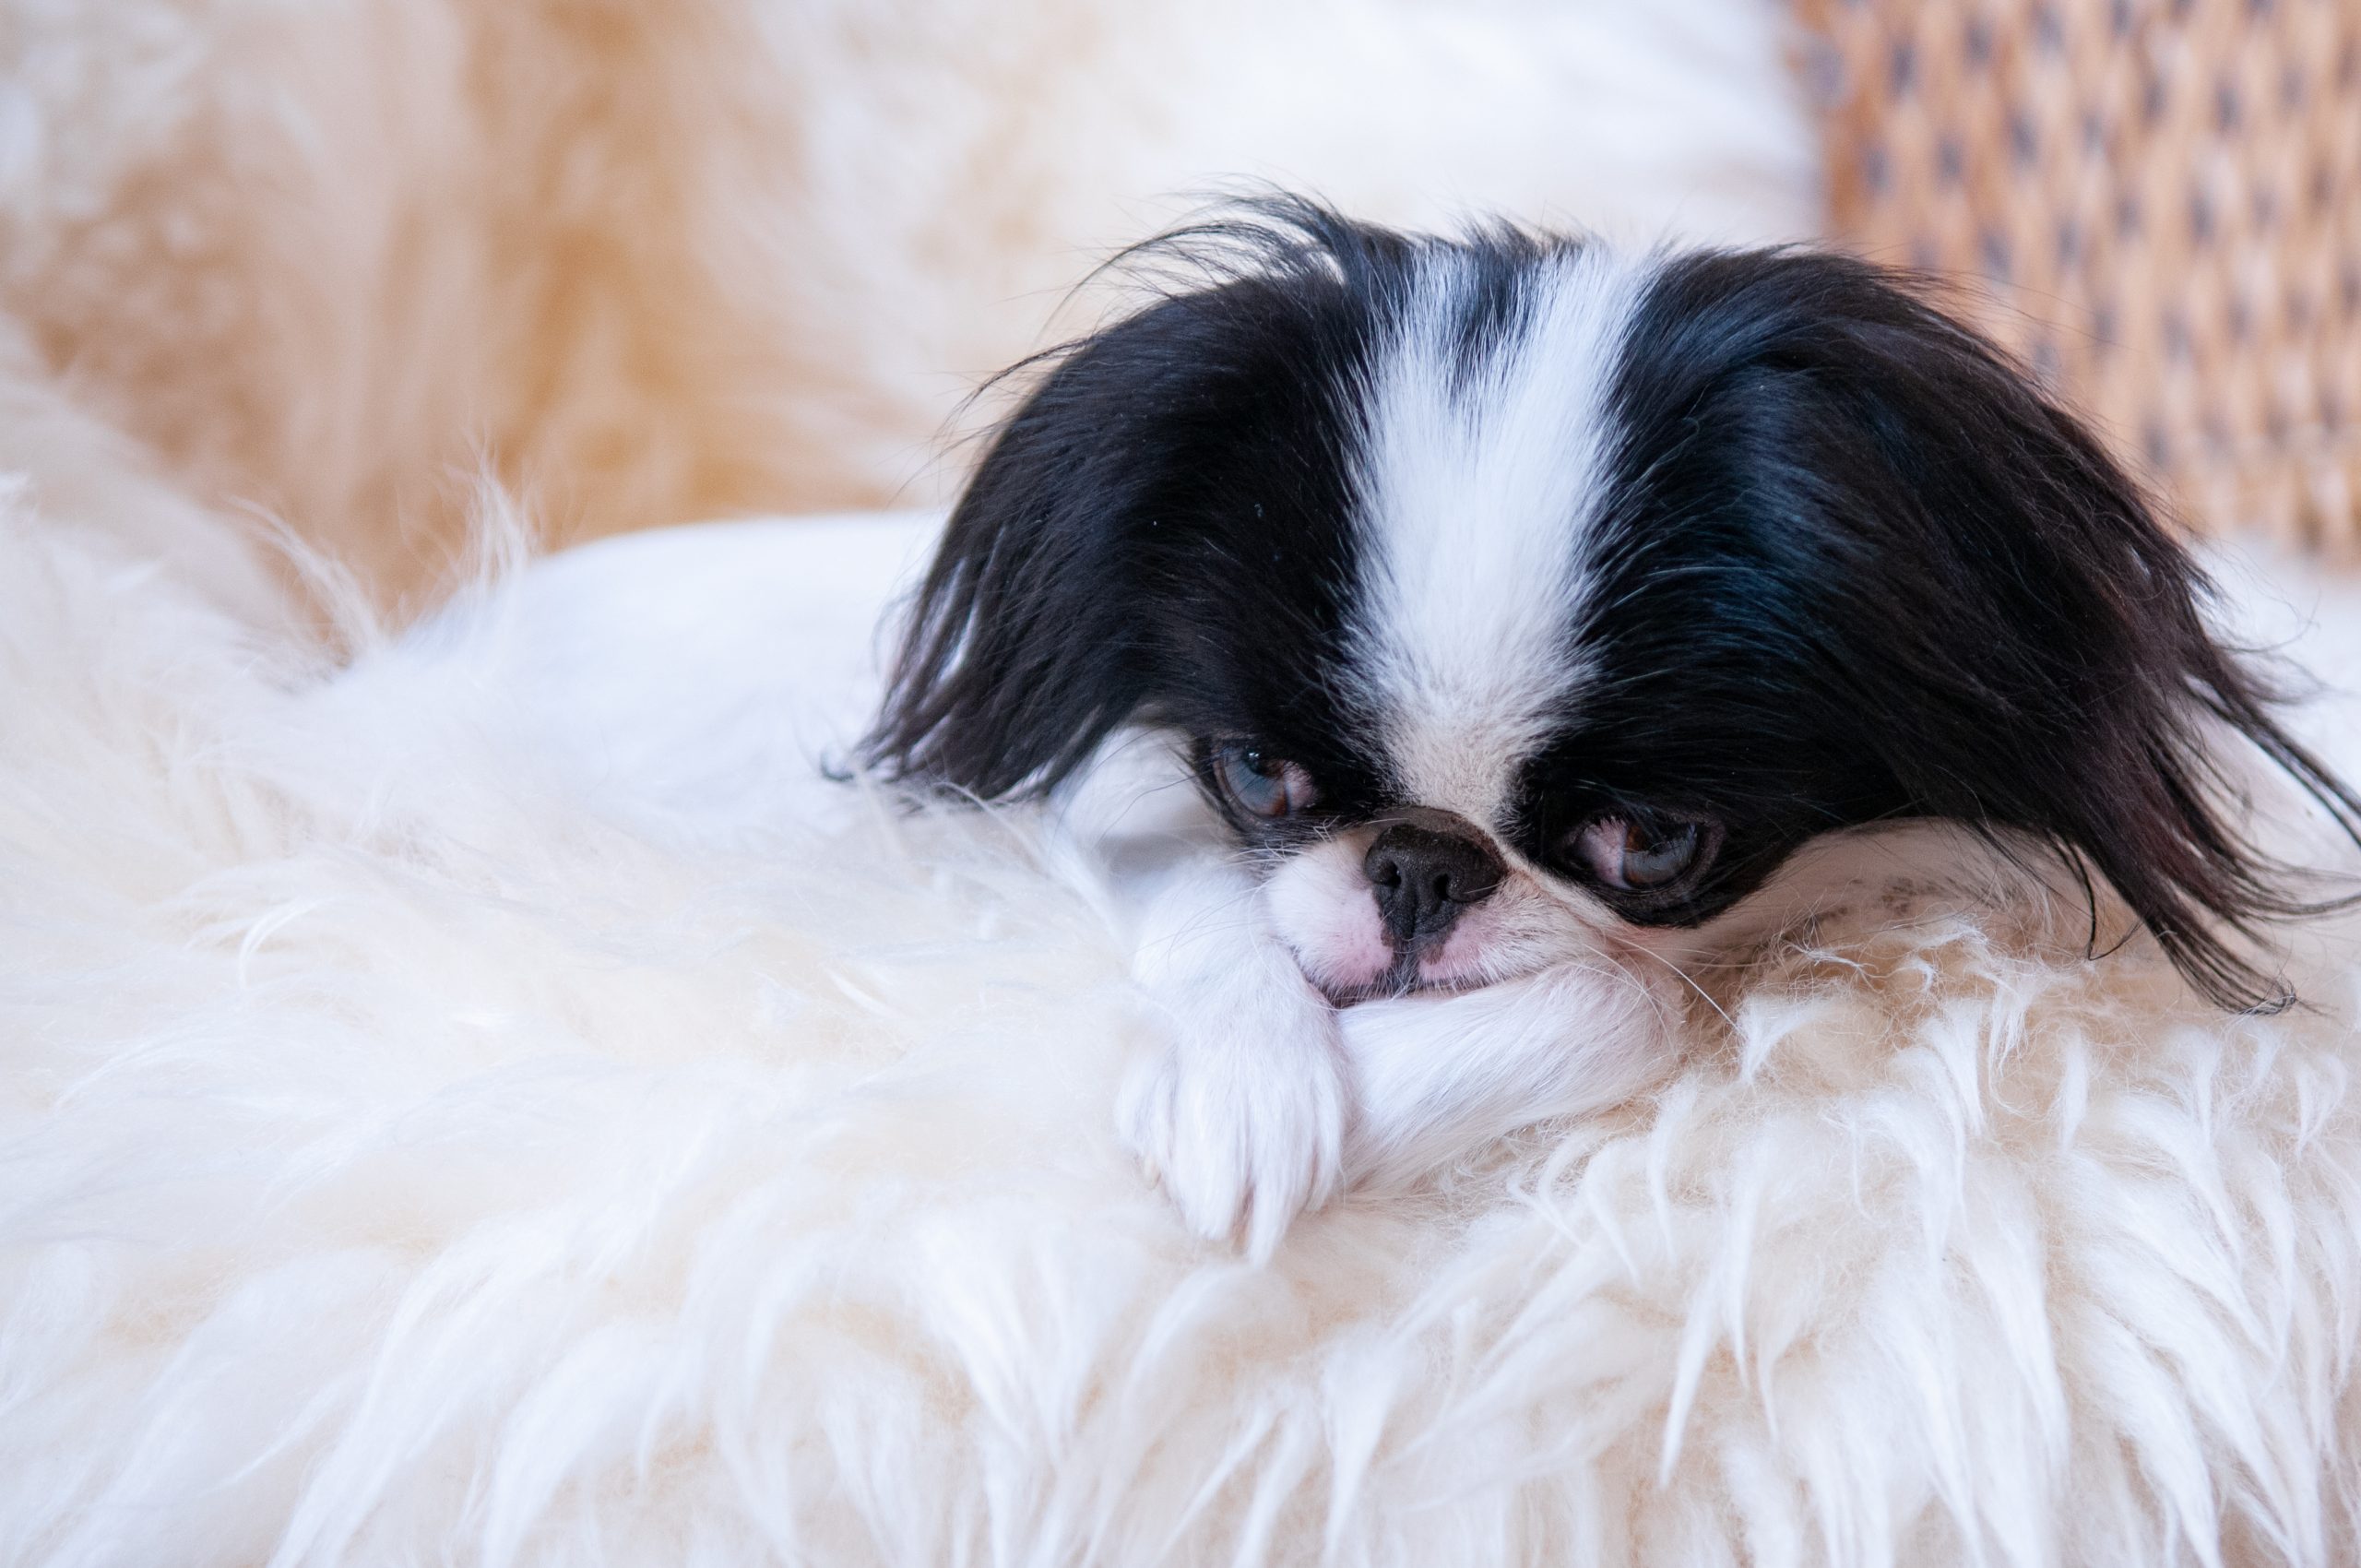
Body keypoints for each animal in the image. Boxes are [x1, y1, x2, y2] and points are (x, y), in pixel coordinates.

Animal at [859, 196, 2351, 1256]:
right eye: (1259, 774)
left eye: (1651, 841)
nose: (1418, 868)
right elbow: (1225, 907)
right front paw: (1242, 1089)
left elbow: (1622, 999)